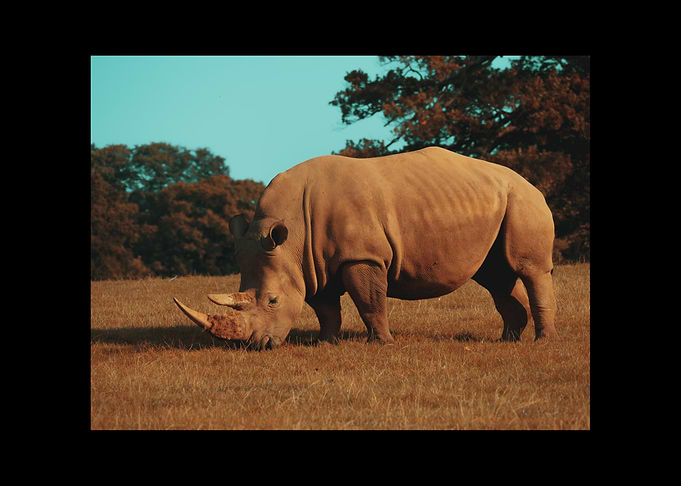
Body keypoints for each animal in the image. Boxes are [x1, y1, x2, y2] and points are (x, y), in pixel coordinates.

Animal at [174, 147, 557, 350]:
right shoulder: (312, 264)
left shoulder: (361, 256)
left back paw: (542, 342)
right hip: (494, 203)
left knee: (528, 269)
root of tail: (531, 182)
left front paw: (383, 343)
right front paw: (326, 343)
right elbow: (326, 308)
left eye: (273, 301)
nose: (258, 345)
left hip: (523, 201)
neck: (291, 237)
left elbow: (369, 301)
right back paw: (509, 340)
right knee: (495, 274)